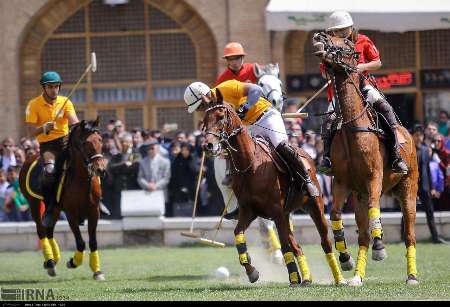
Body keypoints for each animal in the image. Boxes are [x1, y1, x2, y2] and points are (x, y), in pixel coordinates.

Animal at [19, 118, 107, 282]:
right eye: (85, 143)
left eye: (100, 140)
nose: (101, 169)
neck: (81, 178)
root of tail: (30, 157)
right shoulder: (71, 213)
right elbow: (80, 242)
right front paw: (73, 262)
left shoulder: (94, 212)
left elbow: (93, 241)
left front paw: (97, 271)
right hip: (34, 203)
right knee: (41, 230)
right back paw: (49, 260)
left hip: (54, 208)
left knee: (49, 230)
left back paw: (54, 259)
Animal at [202, 95, 346, 286]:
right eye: (204, 120)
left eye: (220, 117)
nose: (208, 146)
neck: (250, 165)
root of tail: (306, 155)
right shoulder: (249, 211)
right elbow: (238, 235)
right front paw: (252, 272)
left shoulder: (276, 211)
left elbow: (285, 247)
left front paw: (293, 278)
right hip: (286, 214)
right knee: (297, 247)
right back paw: (307, 278)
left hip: (315, 206)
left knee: (325, 242)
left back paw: (340, 276)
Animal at [312, 33, 420, 286]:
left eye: (345, 45)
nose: (319, 37)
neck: (353, 127)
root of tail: (409, 136)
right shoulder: (342, 182)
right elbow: (335, 214)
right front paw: (345, 256)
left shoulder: (374, 177)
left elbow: (374, 208)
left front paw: (380, 247)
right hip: (359, 196)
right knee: (362, 236)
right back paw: (357, 277)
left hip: (408, 189)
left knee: (410, 234)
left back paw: (412, 276)